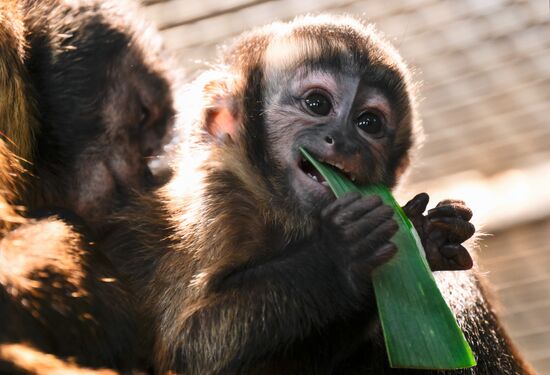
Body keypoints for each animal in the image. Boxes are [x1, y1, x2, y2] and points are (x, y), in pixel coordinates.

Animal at [103, 15, 536, 375]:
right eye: (317, 103)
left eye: (369, 123)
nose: (344, 141)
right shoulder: (219, 206)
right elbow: (190, 350)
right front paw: (340, 254)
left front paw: (428, 240)